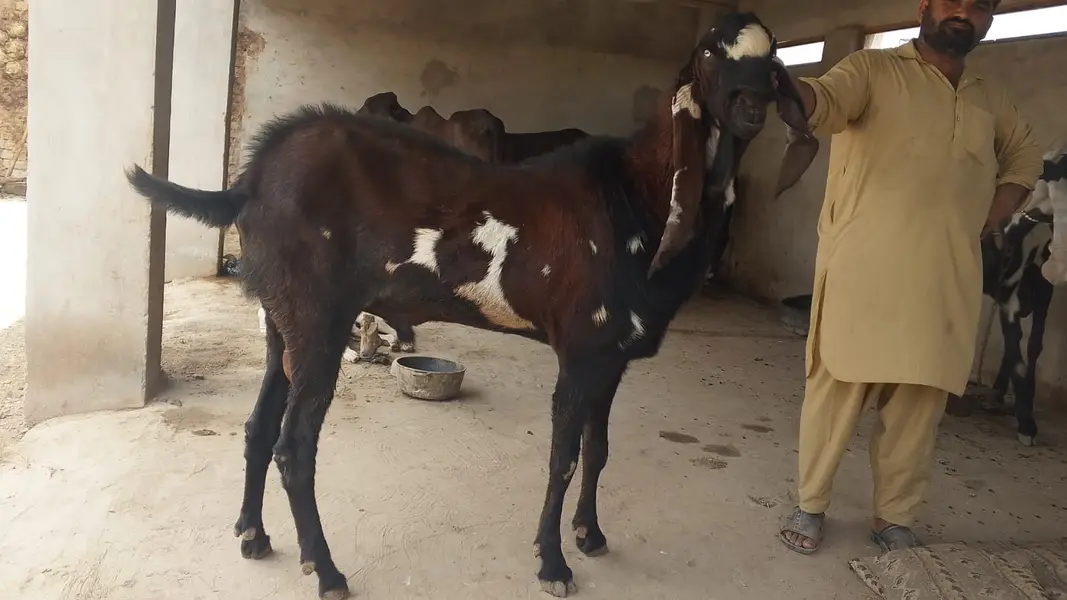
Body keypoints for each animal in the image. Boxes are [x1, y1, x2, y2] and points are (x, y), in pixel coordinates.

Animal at [125, 11, 816, 599]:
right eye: (710, 53)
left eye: (774, 57)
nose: (751, 107)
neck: (635, 197)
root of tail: (249, 180)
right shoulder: (580, 349)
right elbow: (563, 457)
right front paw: (552, 562)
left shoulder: (612, 354)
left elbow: (598, 448)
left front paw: (590, 535)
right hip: (319, 322)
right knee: (294, 448)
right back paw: (326, 570)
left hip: (281, 319)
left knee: (259, 424)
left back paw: (253, 535)